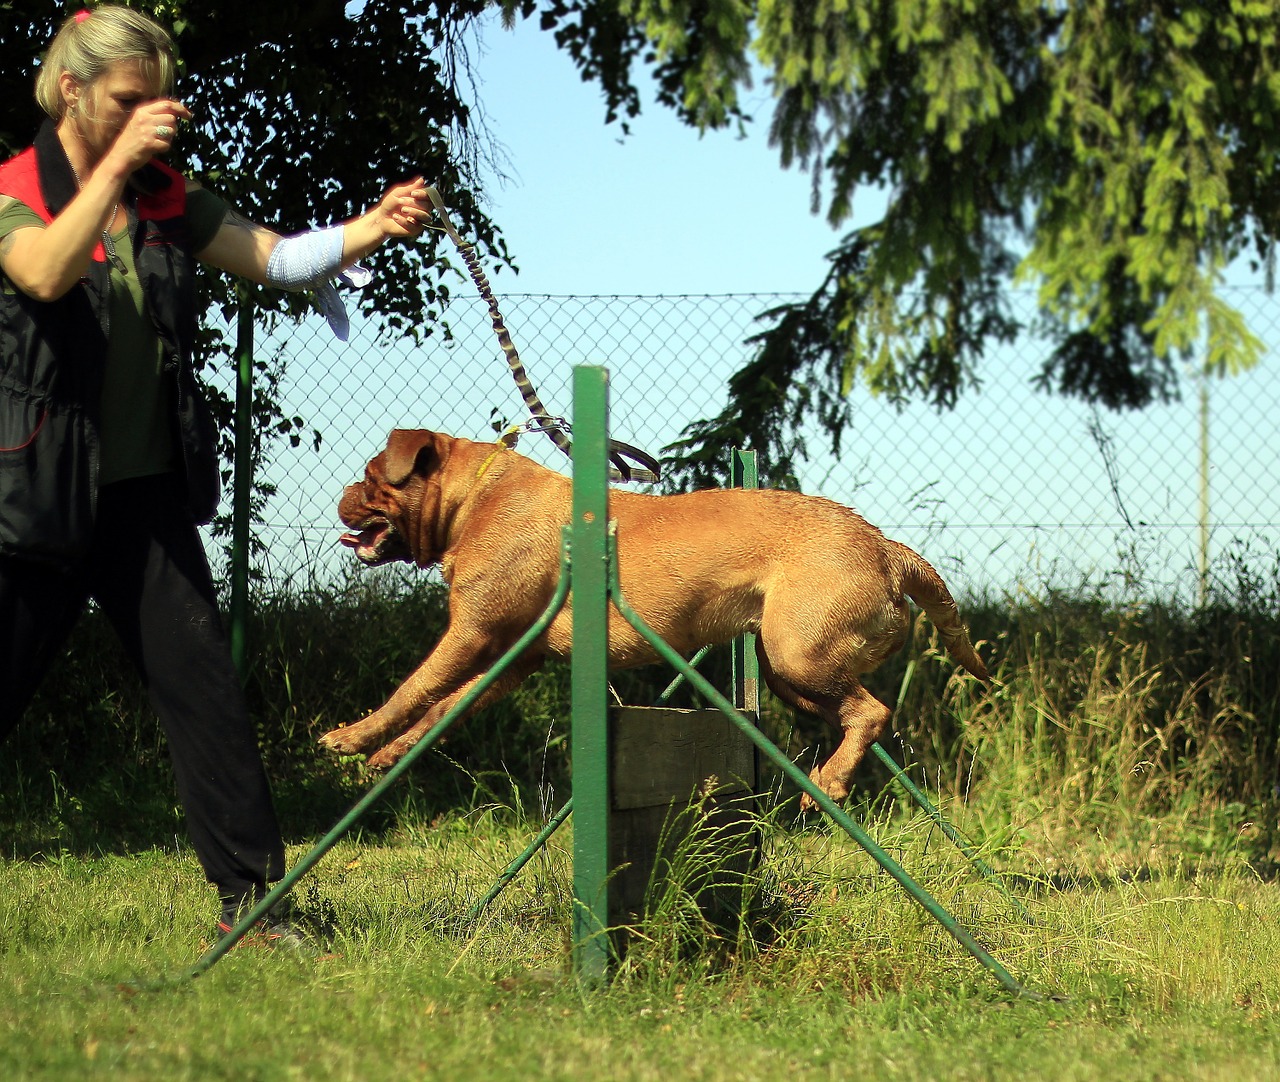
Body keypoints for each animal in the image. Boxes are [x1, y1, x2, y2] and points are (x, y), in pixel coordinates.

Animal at [320, 425, 988, 804]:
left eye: (372, 478)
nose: (340, 495)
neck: (475, 500)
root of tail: (886, 547)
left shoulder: (471, 633)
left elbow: (413, 689)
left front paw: (352, 736)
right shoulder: (510, 657)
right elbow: (441, 707)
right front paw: (389, 755)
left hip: (801, 655)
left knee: (872, 712)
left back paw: (830, 780)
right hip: (787, 669)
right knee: (855, 714)